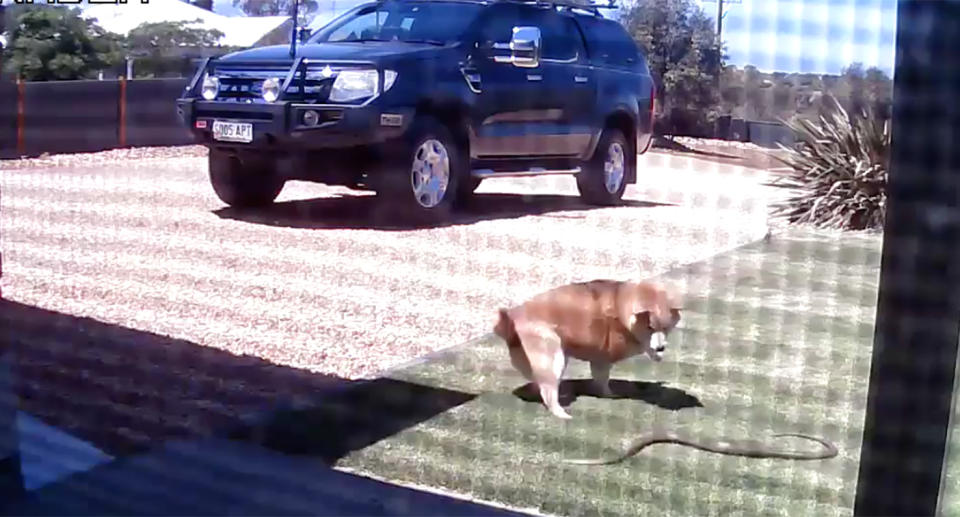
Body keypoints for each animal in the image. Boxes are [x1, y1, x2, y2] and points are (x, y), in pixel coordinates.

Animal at [496, 278, 684, 420]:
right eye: (650, 327)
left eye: (666, 327)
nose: (661, 347)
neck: (622, 306)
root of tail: (511, 320)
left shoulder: (600, 357)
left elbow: (602, 379)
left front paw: (607, 393)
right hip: (554, 355)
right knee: (549, 392)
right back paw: (560, 412)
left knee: (541, 383)